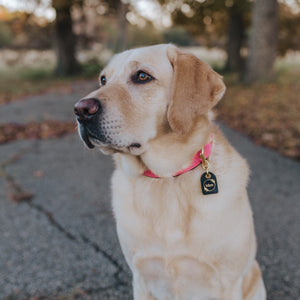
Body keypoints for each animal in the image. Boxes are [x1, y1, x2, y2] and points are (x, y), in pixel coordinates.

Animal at [74, 43, 266, 298]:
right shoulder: (141, 278)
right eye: (103, 79)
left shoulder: (228, 283)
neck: (166, 178)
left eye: (142, 76)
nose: (80, 110)